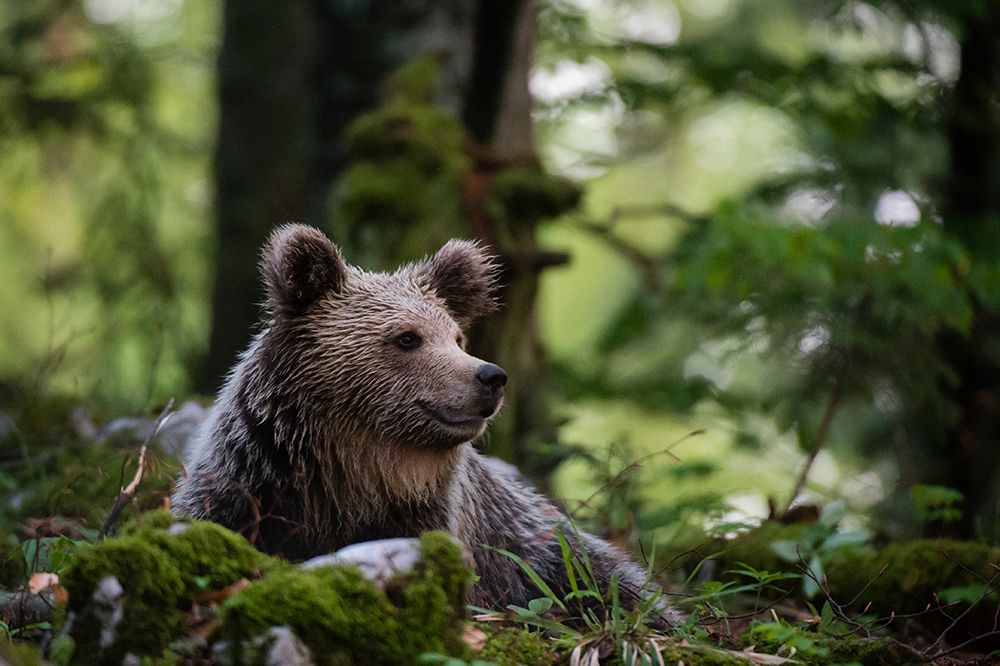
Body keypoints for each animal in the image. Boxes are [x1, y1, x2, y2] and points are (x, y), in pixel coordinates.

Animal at [172, 223, 675, 621]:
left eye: (457, 336)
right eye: (408, 337)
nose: (490, 376)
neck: (353, 473)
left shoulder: (433, 522)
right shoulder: (246, 485)